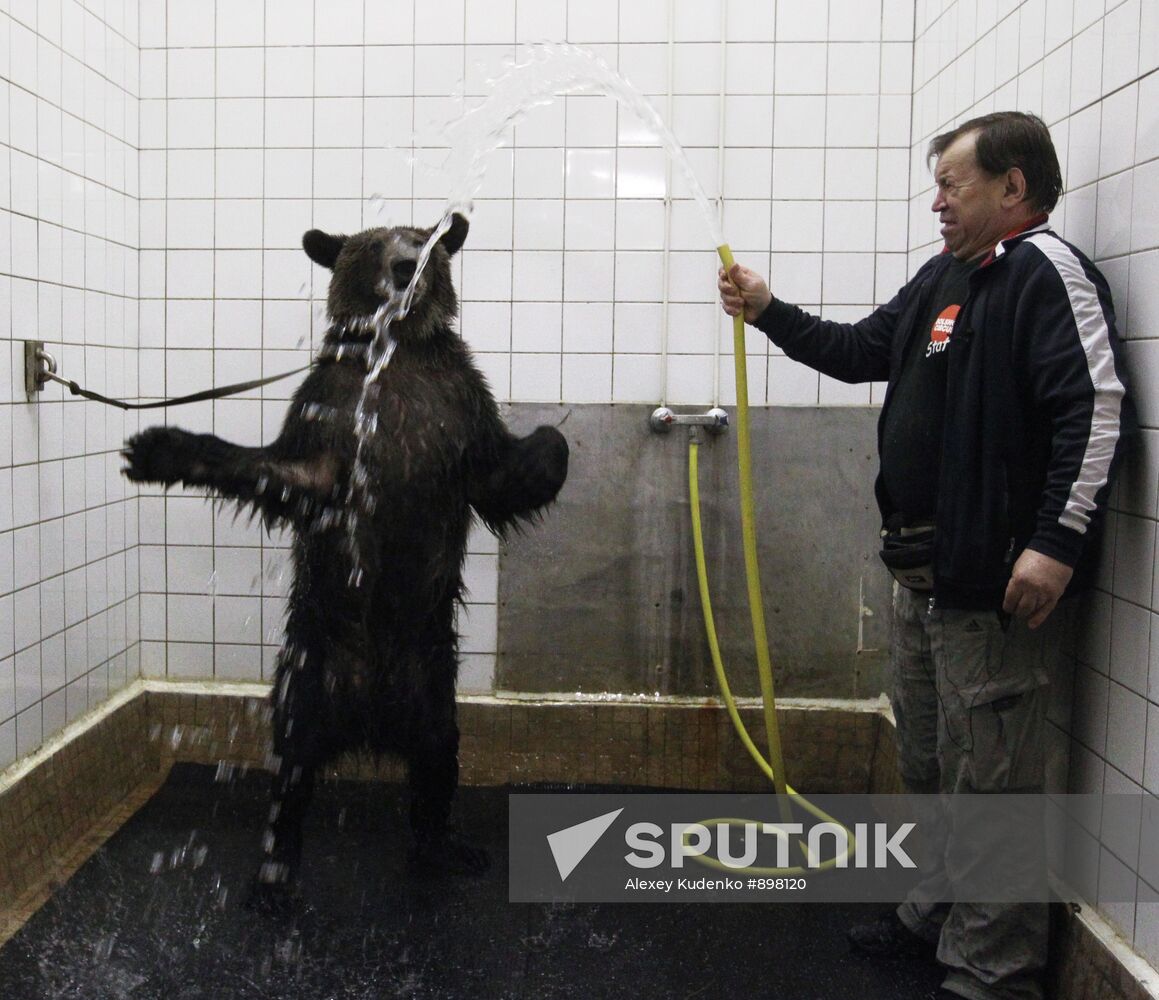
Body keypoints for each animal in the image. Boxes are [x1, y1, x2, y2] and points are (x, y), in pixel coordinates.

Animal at [121, 215, 565, 903]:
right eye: (376, 243)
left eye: (425, 240)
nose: (407, 266)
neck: (393, 355)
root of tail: (368, 719)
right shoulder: (333, 409)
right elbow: (290, 473)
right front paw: (161, 446)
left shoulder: (459, 408)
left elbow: (498, 476)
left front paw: (551, 441)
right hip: (312, 671)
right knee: (291, 765)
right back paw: (275, 874)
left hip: (431, 683)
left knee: (438, 759)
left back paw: (444, 846)